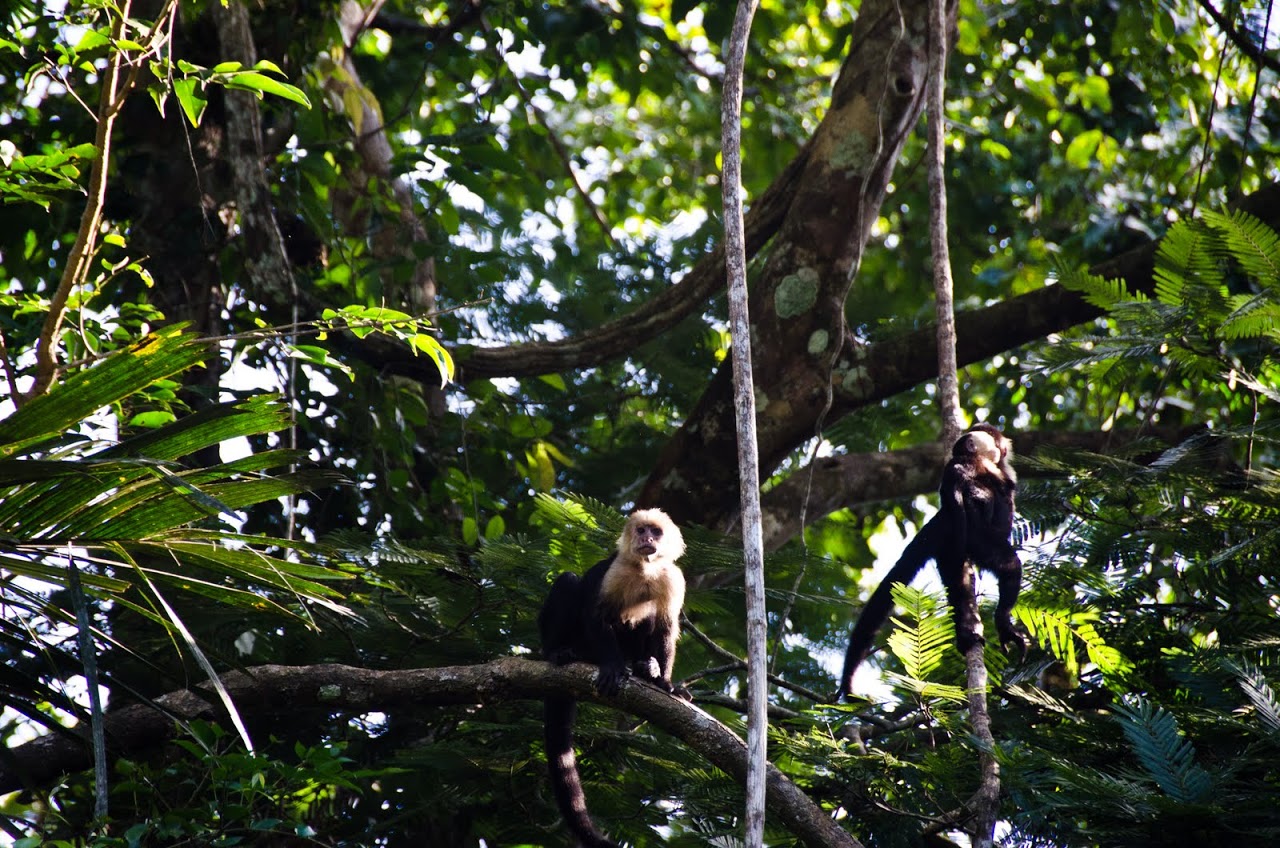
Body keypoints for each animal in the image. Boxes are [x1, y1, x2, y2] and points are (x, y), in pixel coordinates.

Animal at [542, 507, 696, 845]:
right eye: (641, 530)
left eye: (656, 532)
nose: (648, 539)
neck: (644, 569)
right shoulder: (616, 569)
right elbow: (596, 614)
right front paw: (613, 667)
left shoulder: (671, 578)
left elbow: (666, 627)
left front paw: (664, 683)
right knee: (569, 582)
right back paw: (559, 652)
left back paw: (645, 668)